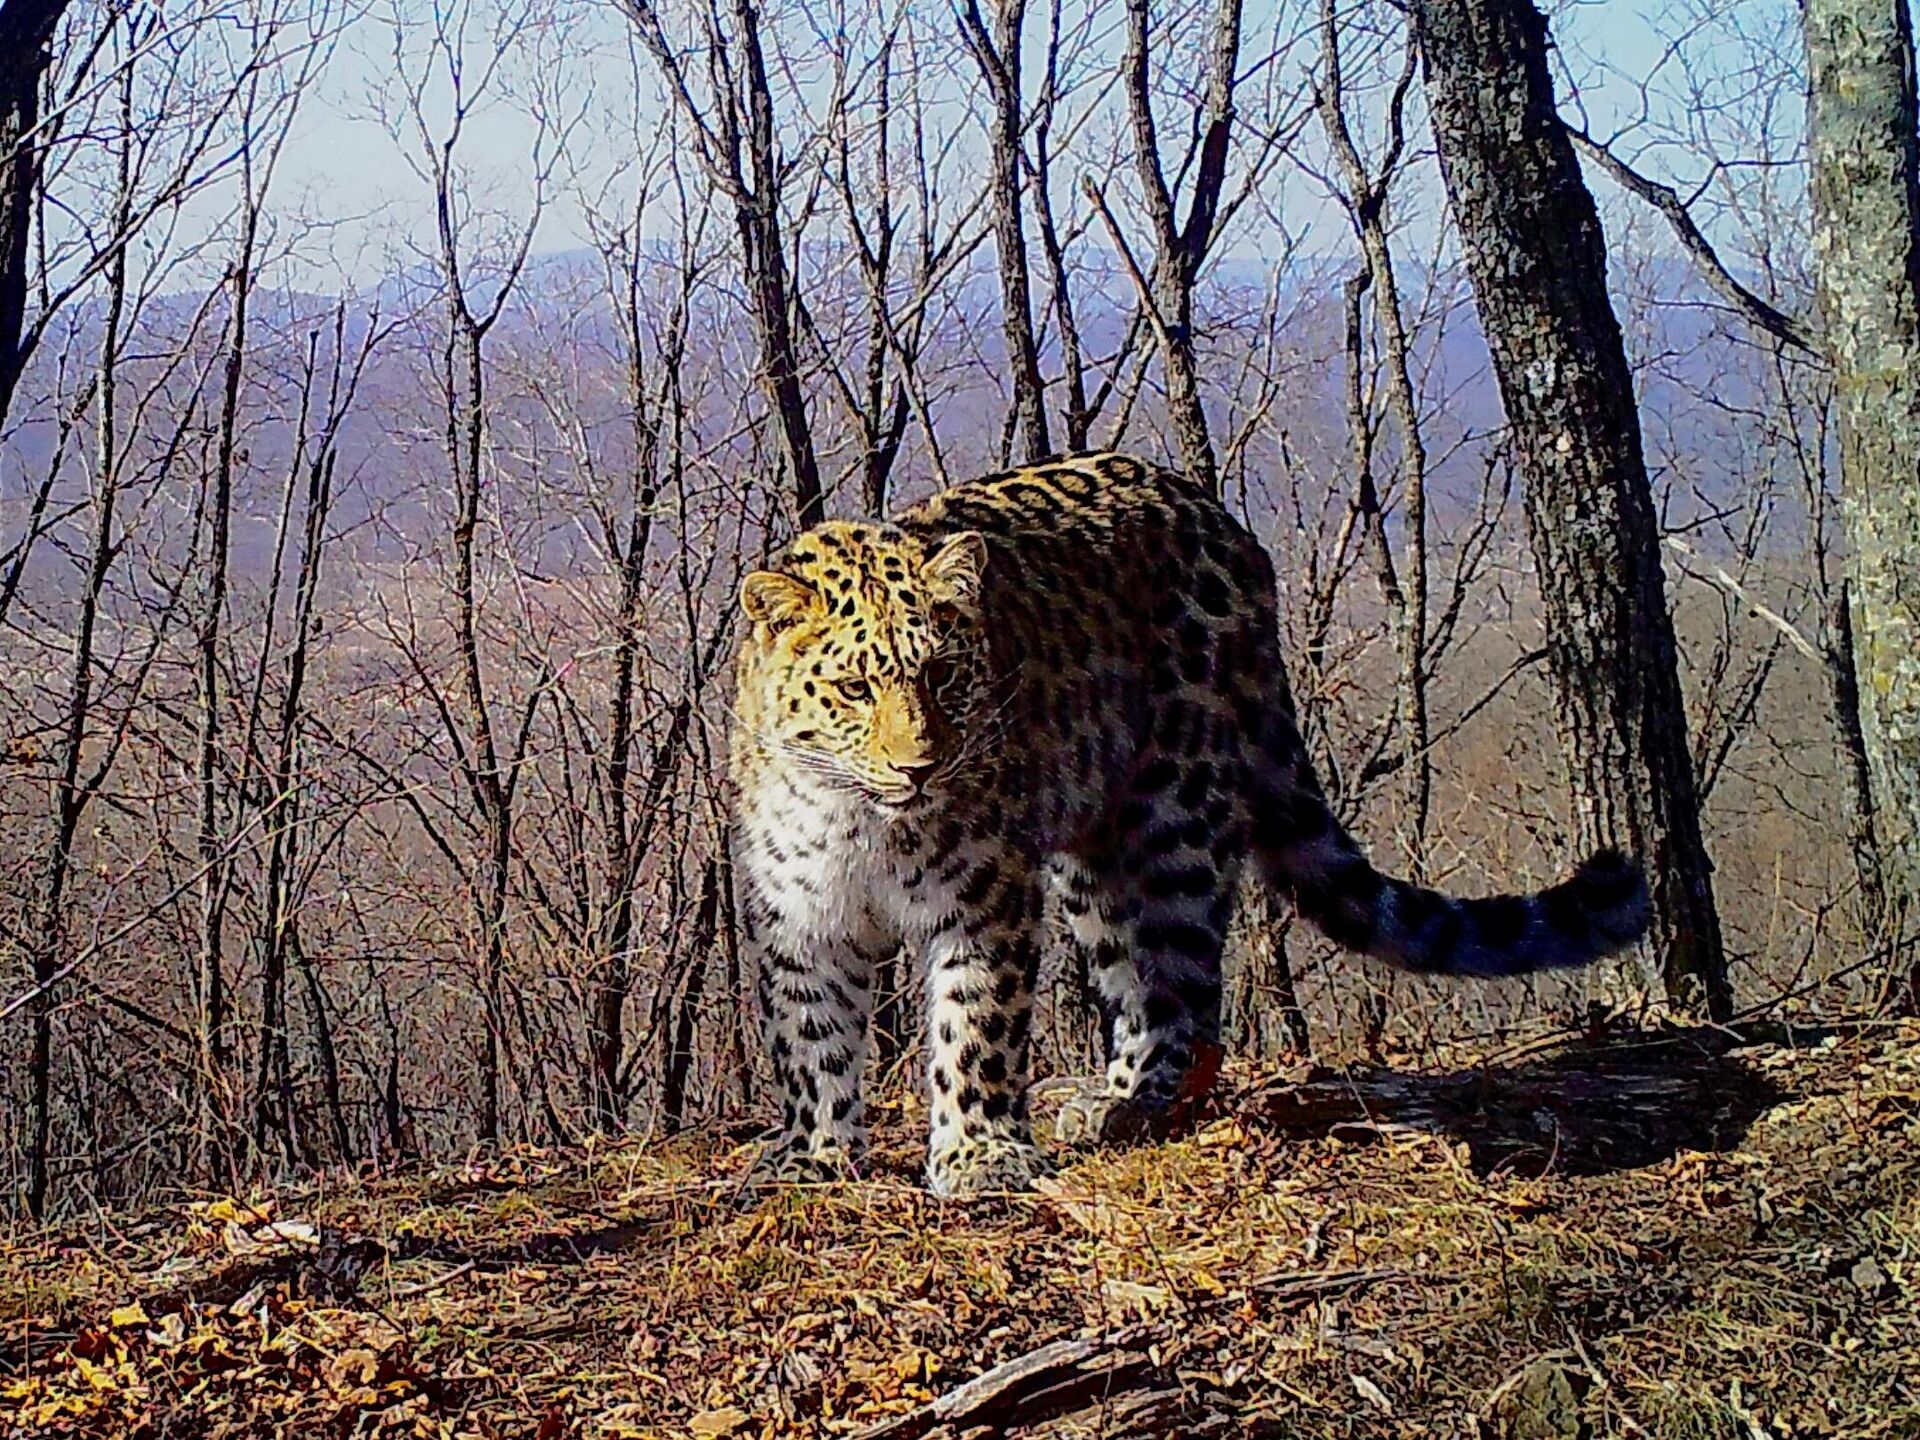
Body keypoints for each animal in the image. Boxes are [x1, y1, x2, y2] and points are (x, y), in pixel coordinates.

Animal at [725, 456, 1658, 1198]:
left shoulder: (985, 896)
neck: (858, 820)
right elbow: (811, 1035)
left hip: (1174, 820)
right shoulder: (799, 913)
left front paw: (980, 1154)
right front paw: (813, 1155)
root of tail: (1225, 524)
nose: (920, 766)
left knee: (1187, 991)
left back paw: (1139, 1104)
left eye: (946, 675)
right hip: (1096, 858)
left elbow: (975, 1027)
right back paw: (1109, 1096)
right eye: (853, 688)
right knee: (1139, 976)